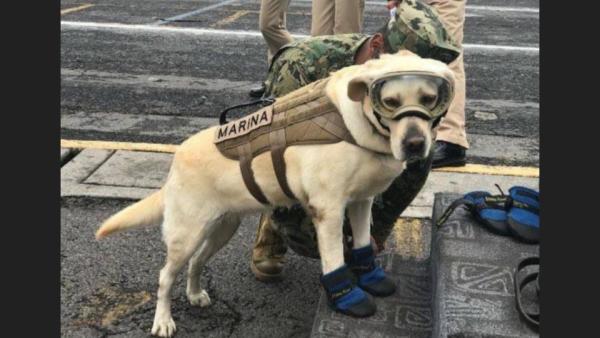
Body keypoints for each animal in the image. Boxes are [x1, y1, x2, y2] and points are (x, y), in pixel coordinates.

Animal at [95, 50, 454, 338]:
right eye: (390, 102)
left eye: (429, 99)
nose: (415, 144)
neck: (357, 123)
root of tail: (176, 161)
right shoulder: (328, 211)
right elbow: (335, 260)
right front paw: (347, 297)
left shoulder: (361, 203)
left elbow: (363, 244)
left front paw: (372, 277)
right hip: (186, 234)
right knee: (164, 276)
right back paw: (163, 321)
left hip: (221, 228)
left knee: (196, 262)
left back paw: (195, 294)